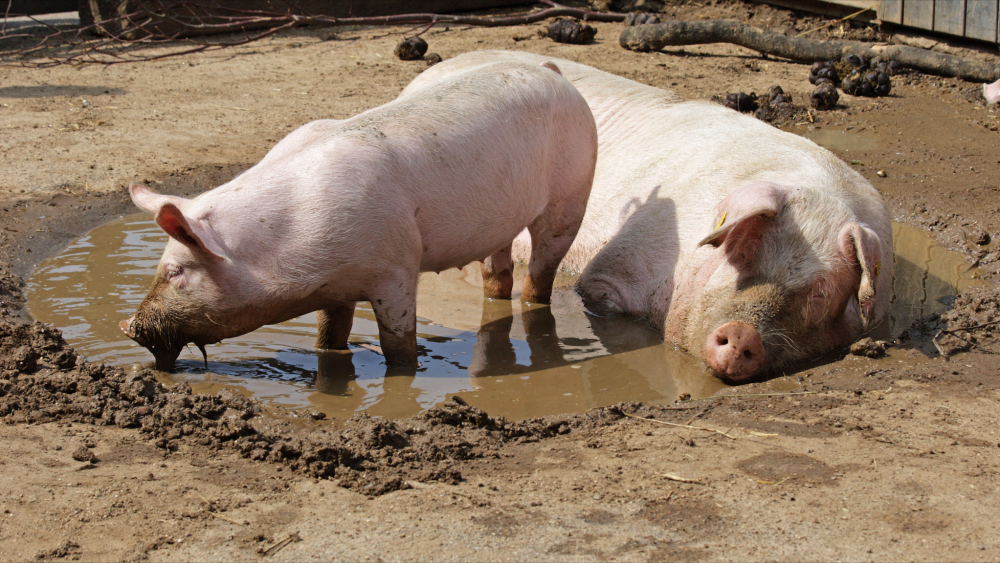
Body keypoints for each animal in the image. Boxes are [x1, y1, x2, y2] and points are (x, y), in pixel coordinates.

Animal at [121, 59, 596, 372]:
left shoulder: (397, 268)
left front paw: (404, 372)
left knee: (541, 273)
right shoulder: (336, 285)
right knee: (497, 273)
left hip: (572, 194)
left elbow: (398, 345)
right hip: (501, 220)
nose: (129, 326)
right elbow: (329, 337)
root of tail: (551, 69)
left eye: (176, 272)